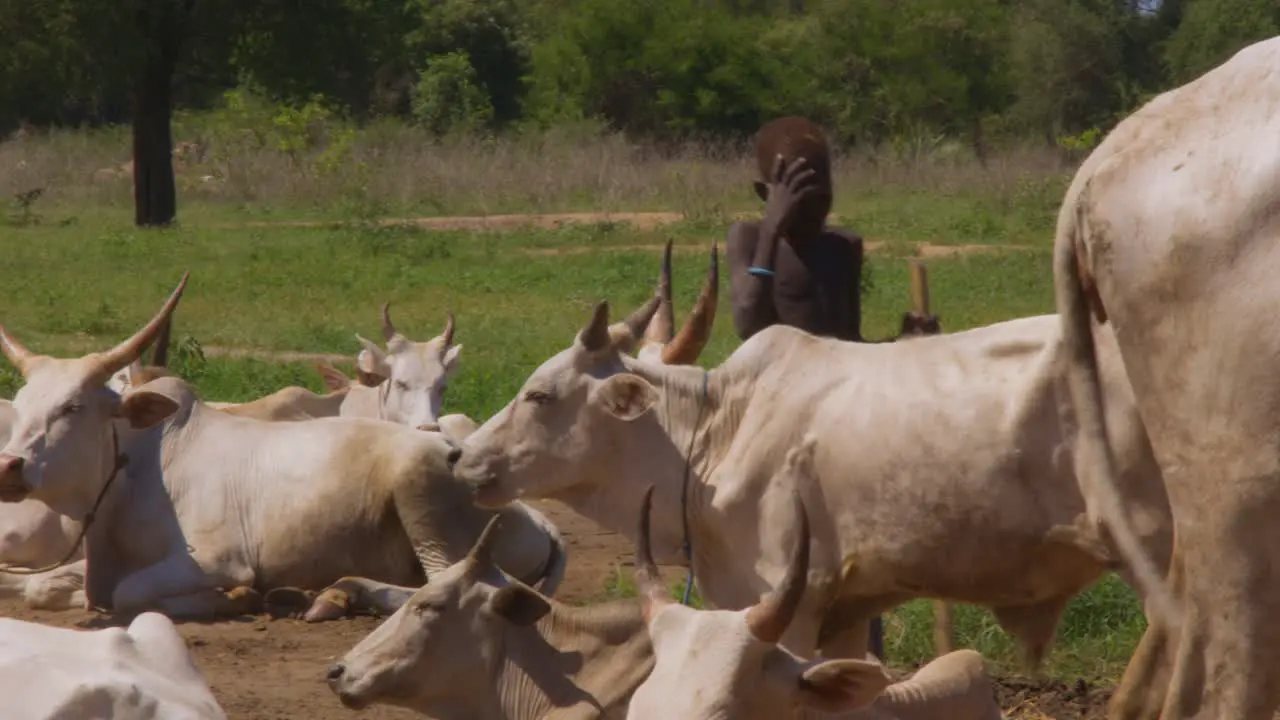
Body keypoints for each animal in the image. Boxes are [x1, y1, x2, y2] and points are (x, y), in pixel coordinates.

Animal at [0, 274, 565, 617]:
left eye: (73, 406)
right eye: (21, 403)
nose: (9, 466)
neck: (135, 469)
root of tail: (537, 518)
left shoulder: (215, 558)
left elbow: (128, 593)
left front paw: (234, 597)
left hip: (420, 494)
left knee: (441, 583)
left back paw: (340, 592)